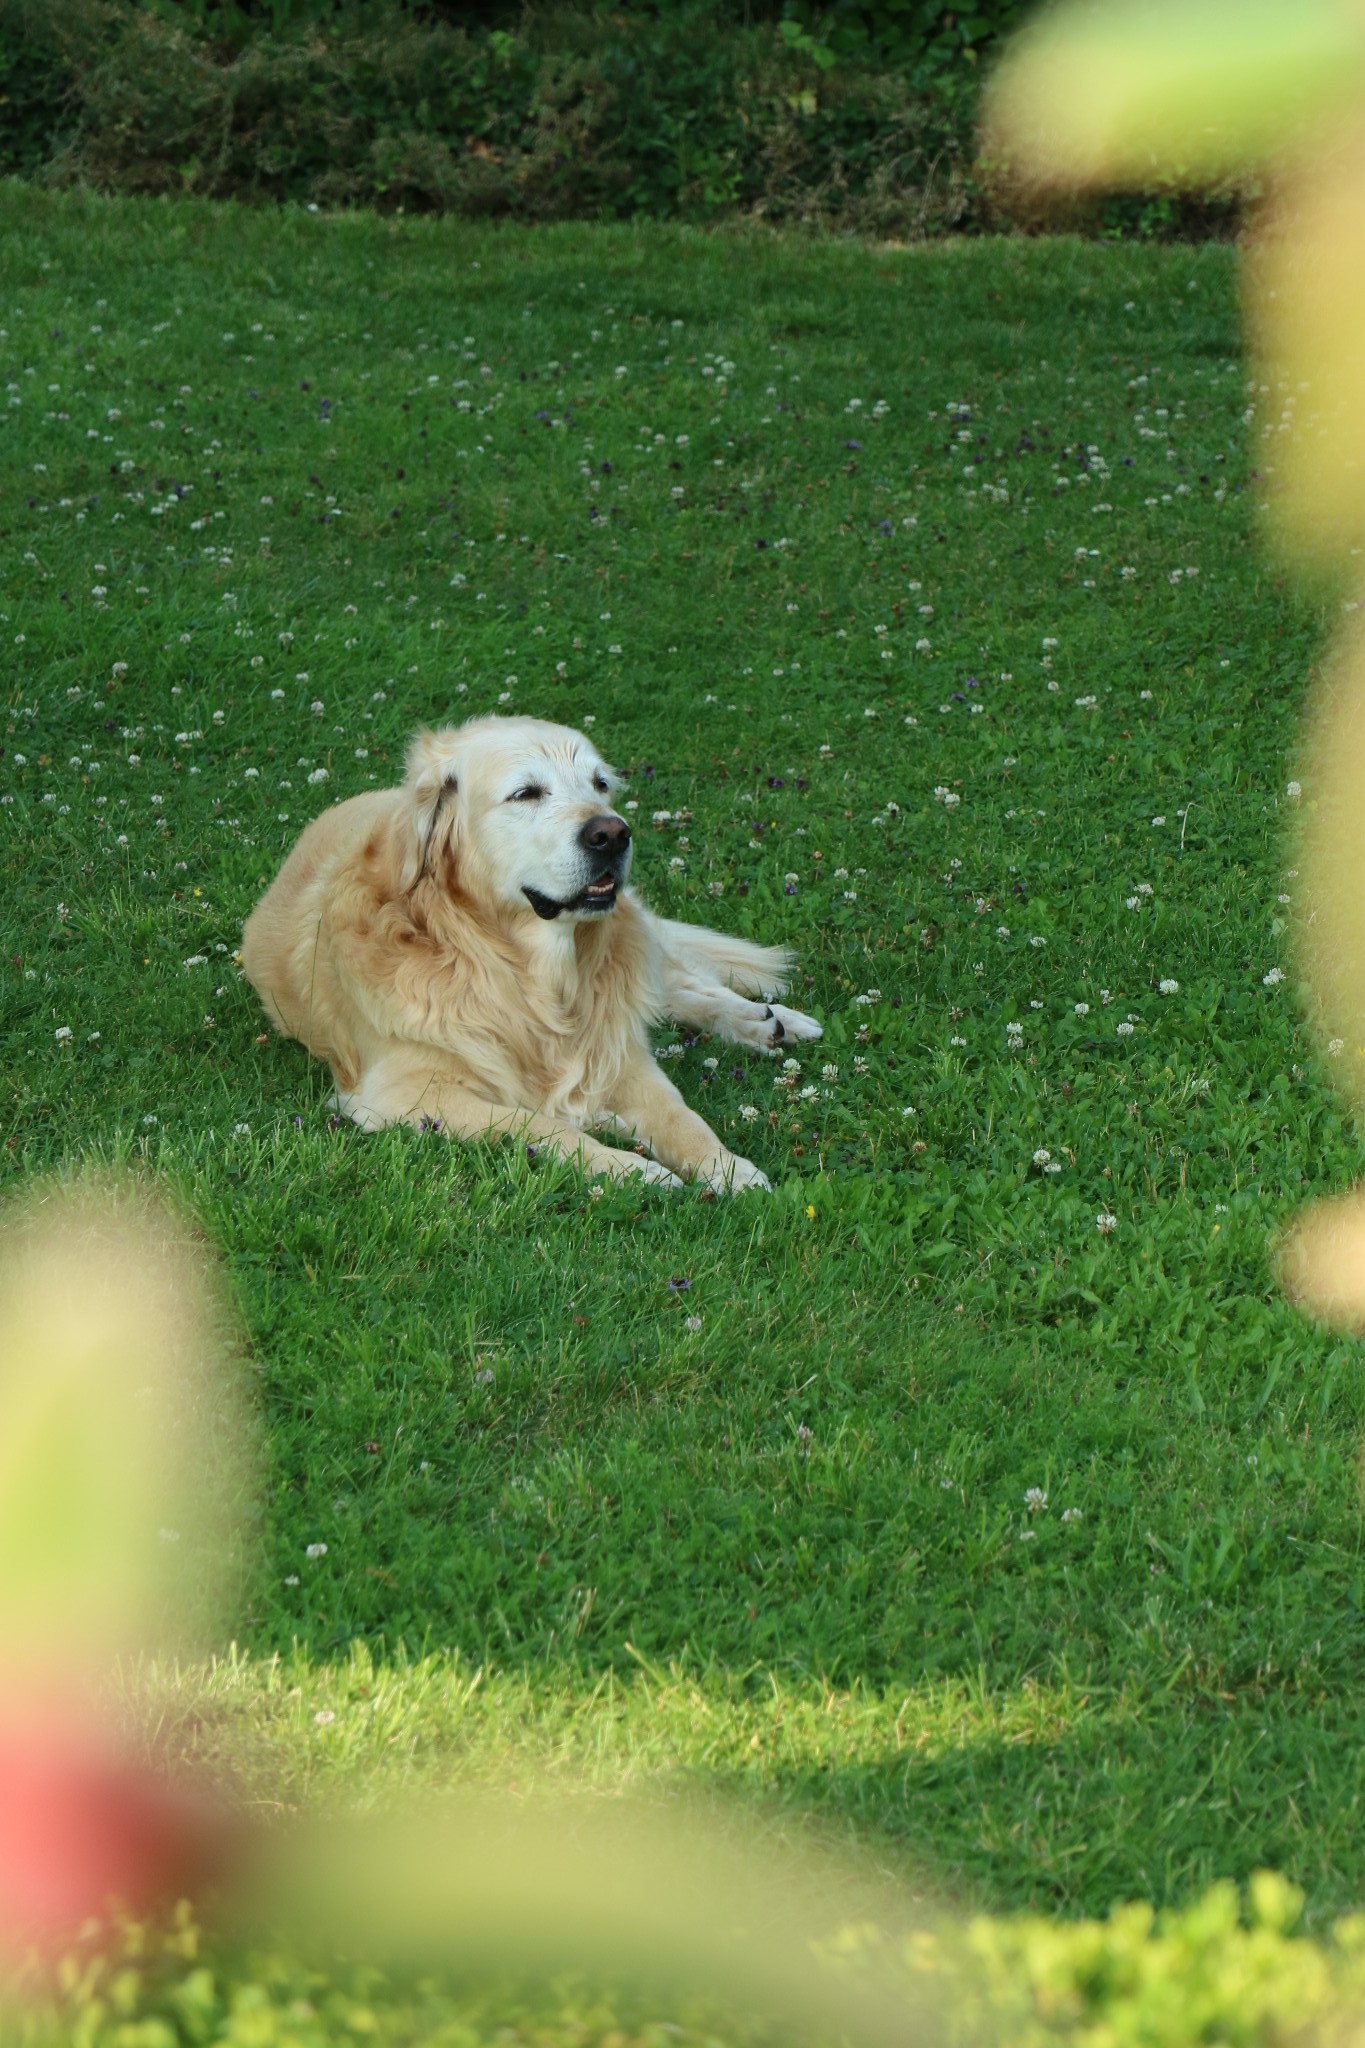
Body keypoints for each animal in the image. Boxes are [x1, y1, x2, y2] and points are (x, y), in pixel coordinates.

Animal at [240, 716, 822, 1187]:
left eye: (601, 784)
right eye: (525, 793)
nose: (614, 834)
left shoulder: (621, 1055)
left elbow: (683, 1117)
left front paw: (728, 1168)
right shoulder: (402, 1093)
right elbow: (540, 1124)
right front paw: (635, 1169)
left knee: (681, 983)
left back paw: (769, 1020)